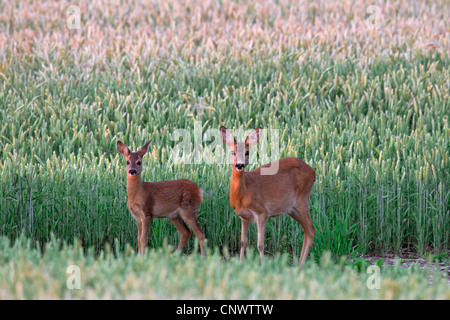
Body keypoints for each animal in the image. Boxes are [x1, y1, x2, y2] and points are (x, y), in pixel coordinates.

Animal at [221, 126, 316, 268]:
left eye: (247, 152)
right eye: (233, 152)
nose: (239, 165)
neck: (243, 193)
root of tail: (313, 172)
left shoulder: (262, 213)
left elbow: (260, 244)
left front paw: (263, 266)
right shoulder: (244, 217)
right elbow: (243, 241)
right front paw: (240, 264)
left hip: (302, 200)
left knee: (311, 229)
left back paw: (300, 266)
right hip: (291, 209)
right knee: (307, 229)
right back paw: (299, 264)